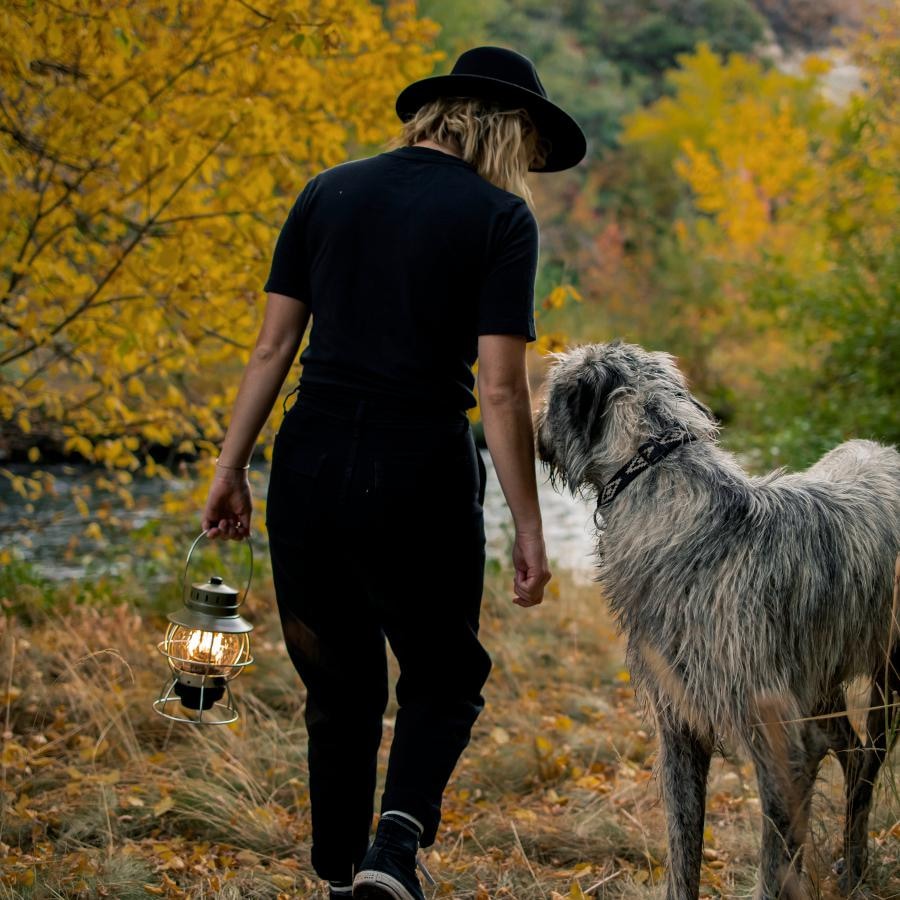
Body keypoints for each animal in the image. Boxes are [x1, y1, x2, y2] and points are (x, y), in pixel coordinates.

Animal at [536, 342, 900, 900]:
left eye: (552, 393)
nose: (532, 430)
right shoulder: (680, 726)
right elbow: (683, 848)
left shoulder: (779, 739)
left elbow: (775, 865)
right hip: (822, 685)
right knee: (856, 757)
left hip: (886, 676)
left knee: (869, 762)